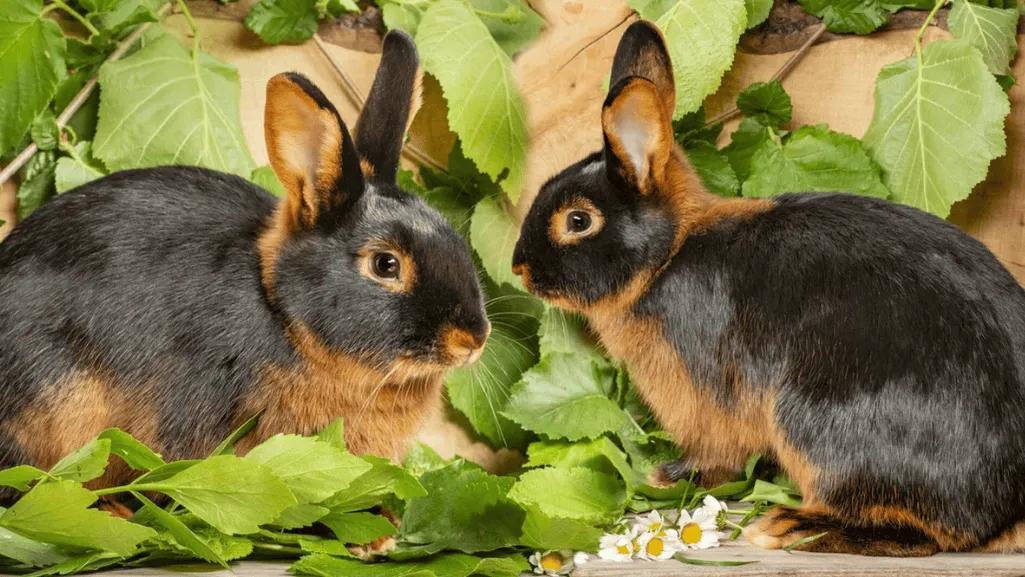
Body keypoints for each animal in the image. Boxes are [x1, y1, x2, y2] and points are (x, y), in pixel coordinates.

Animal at [511, 20, 1025, 556]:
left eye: (578, 221)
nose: (518, 267)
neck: (667, 256)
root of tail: (1009, 507)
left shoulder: (707, 398)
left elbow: (717, 456)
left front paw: (669, 476)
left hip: (817, 422)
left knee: (929, 533)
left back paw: (787, 526)